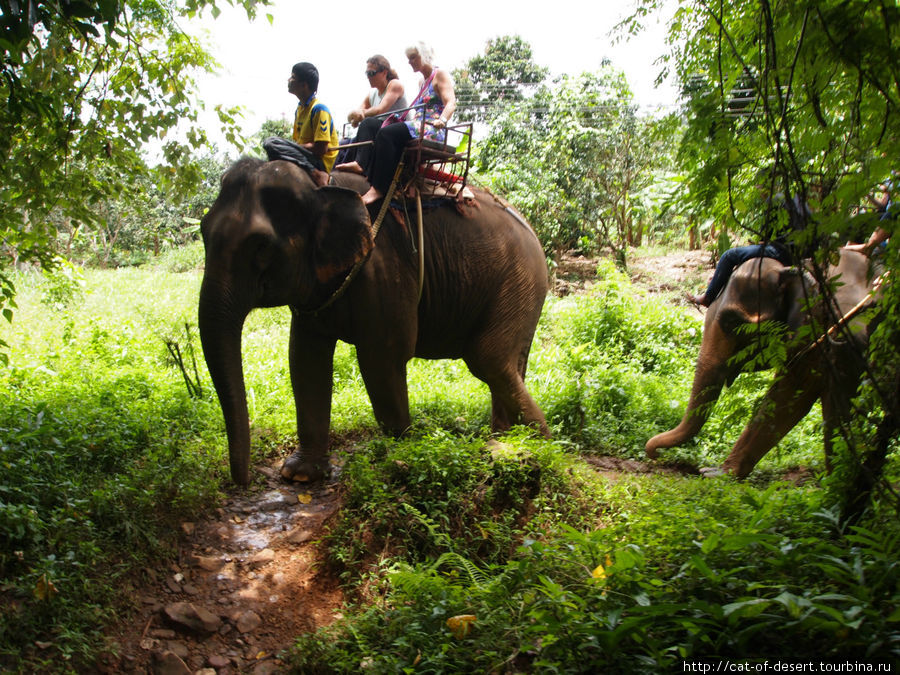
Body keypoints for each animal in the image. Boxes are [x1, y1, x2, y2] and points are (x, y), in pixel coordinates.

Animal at [198, 158, 548, 486]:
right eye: (202, 232)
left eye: (261, 246)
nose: (245, 479)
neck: (320, 184)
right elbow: (305, 358)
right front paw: (300, 475)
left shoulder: (382, 266)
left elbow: (383, 356)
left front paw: (401, 458)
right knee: (508, 362)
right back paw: (506, 442)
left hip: (520, 278)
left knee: (488, 358)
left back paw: (539, 442)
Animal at [644, 251, 884, 478]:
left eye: (733, 323)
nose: (655, 455)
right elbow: (790, 395)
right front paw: (718, 473)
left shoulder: (850, 336)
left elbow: (837, 400)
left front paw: (839, 483)